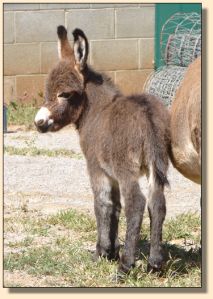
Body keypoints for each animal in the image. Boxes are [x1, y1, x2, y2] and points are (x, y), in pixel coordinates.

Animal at [35, 26, 171, 276]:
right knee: (157, 204)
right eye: (47, 91)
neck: (95, 110)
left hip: (126, 169)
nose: (38, 123)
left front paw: (102, 253)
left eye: (64, 94)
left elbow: (102, 204)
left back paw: (125, 266)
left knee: (136, 204)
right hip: (156, 166)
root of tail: (146, 114)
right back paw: (154, 264)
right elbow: (115, 207)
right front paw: (111, 251)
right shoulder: (111, 174)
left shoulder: (96, 167)